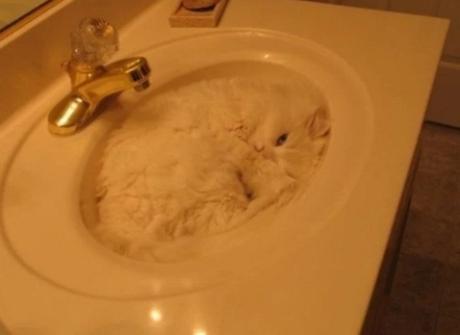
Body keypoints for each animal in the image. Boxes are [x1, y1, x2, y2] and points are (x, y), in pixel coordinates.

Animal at [88, 77, 328, 262]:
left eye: (282, 157)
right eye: (282, 139)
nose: (263, 152)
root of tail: (118, 229)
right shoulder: (231, 137)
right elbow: (255, 163)